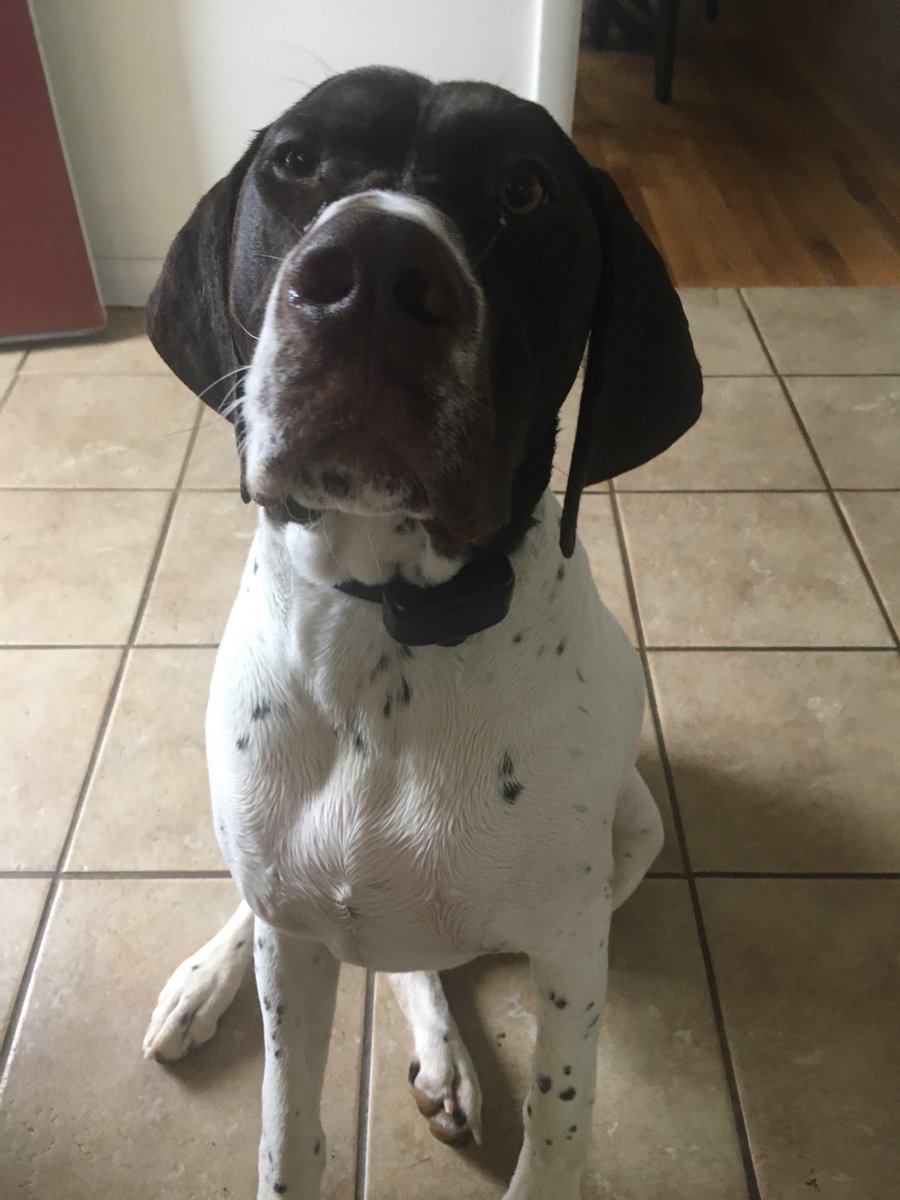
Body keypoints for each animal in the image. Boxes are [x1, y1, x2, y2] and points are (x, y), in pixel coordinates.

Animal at [142, 65, 701, 1199]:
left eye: (524, 189)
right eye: (296, 162)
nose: (367, 274)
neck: (391, 628)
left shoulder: (572, 950)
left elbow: (559, 1129)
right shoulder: (293, 941)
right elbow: (287, 1131)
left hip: (634, 829)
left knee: (424, 958)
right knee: (290, 917)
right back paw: (205, 981)